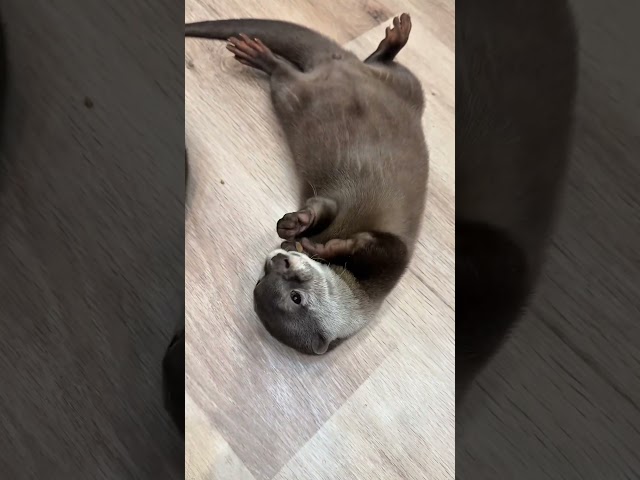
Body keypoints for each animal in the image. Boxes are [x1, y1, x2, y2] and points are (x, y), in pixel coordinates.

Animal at [185, 15, 429, 355]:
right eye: (266, 276)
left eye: (296, 297)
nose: (279, 260)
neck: (357, 293)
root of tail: (335, 63)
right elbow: (330, 210)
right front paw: (309, 236)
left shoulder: (390, 263)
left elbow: (367, 238)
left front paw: (304, 231)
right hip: (292, 94)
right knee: (286, 74)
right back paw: (261, 56)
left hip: (406, 87)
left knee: (381, 63)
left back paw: (396, 36)